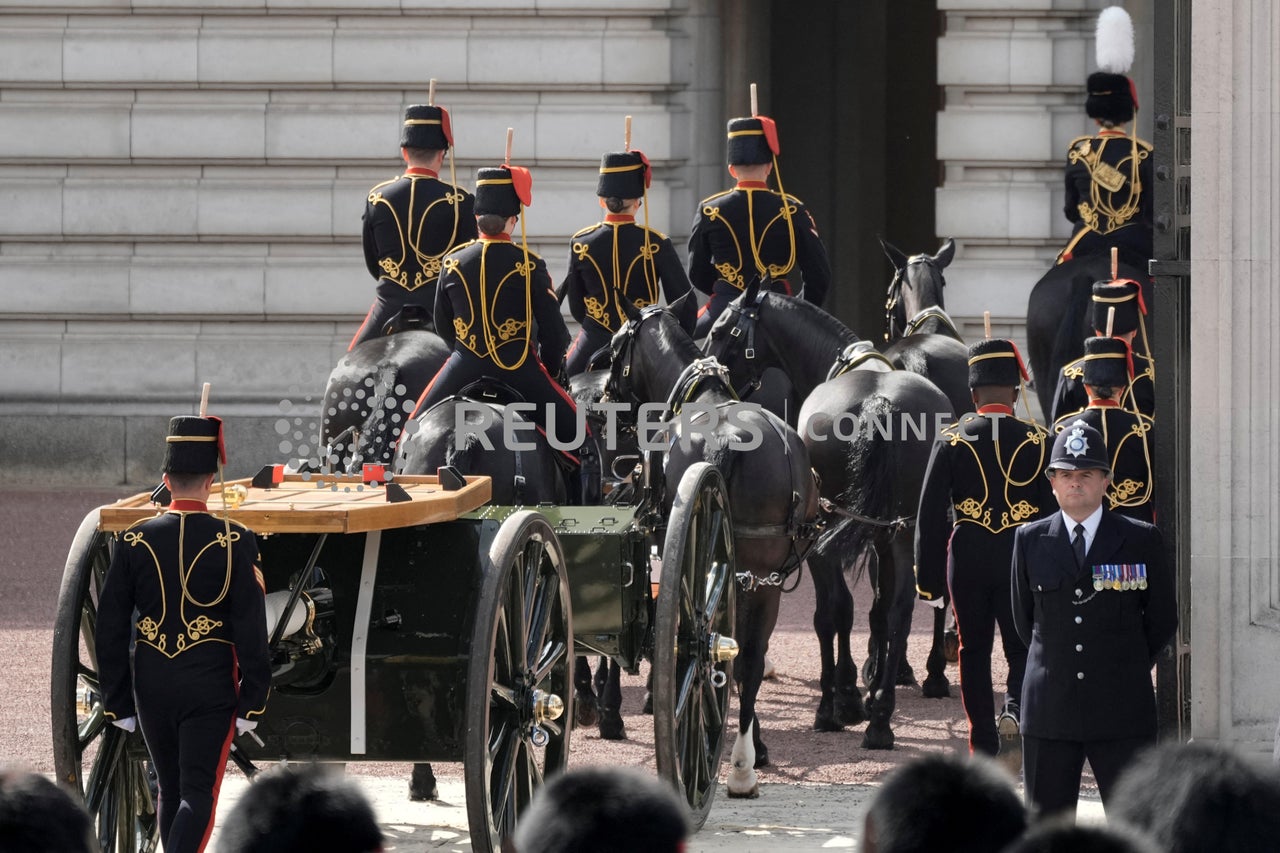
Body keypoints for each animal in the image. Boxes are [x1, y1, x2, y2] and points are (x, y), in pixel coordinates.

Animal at [609, 302, 819, 794]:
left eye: (614, 344)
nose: (603, 392)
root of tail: (729, 441)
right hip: (763, 576)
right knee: (749, 656)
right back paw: (743, 761)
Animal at [706, 284, 957, 742]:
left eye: (720, 329)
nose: (709, 371)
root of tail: (879, 403)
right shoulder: (884, 533)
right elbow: (879, 609)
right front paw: (868, 690)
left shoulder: (820, 539)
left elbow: (835, 612)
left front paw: (843, 696)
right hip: (904, 528)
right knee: (900, 608)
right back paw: (884, 716)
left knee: (837, 608)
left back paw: (843, 706)